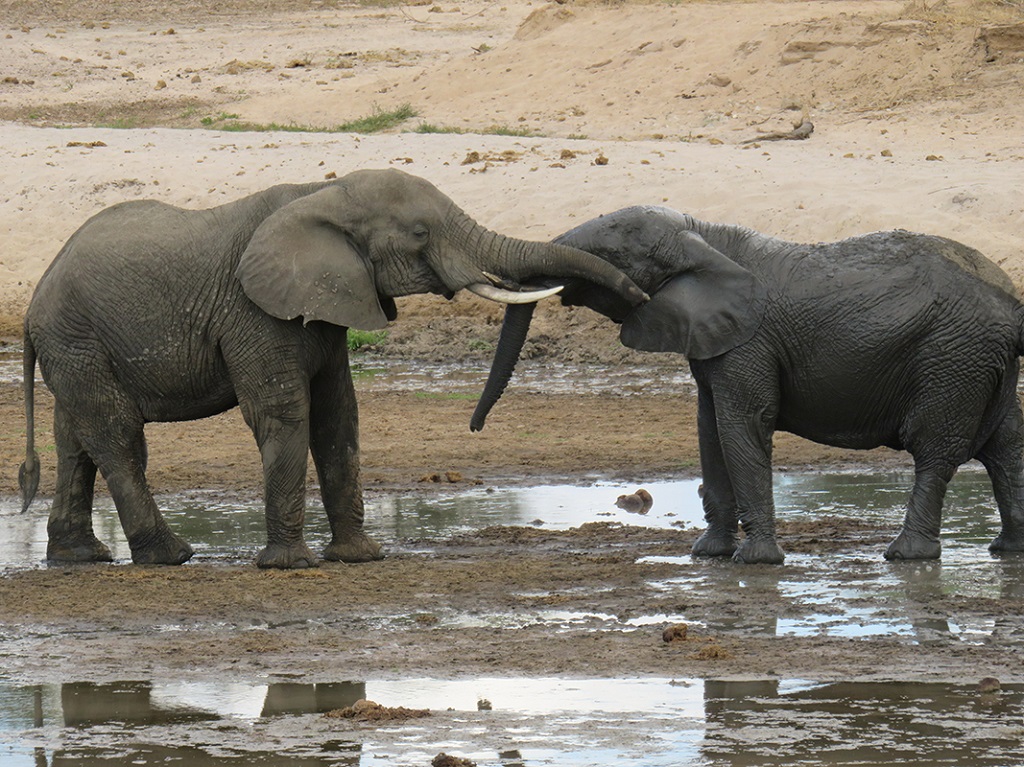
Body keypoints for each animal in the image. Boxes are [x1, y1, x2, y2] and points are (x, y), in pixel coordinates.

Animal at [18, 171, 647, 573]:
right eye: (420, 234)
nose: (641, 296)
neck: (322, 194)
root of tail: (34, 299)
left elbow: (338, 413)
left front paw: (359, 558)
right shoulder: (253, 310)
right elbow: (284, 412)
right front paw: (289, 566)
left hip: (76, 345)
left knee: (75, 439)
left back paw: (78, 557)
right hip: (77, 338)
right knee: (118, 436)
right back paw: (170, 557)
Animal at [471, 203, 1024, 561]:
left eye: (611, 254)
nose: (475, 429)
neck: (701, 235)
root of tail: (1011, 304)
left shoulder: (749, 343)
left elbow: (743, 425)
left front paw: (755, 561)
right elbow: (709, 425)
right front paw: (708, 554)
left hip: (952, 359)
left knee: (934, 449)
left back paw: (907, 555)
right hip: (976, 362)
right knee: (1006, 444)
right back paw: (1007, 549)